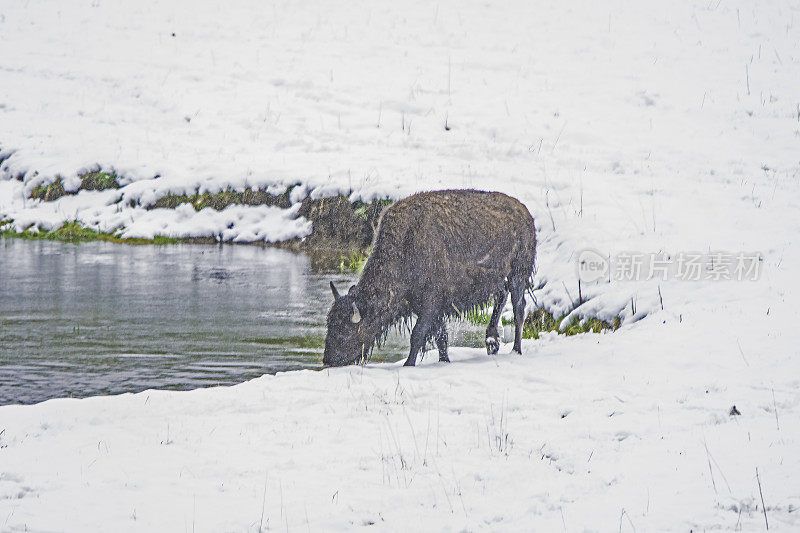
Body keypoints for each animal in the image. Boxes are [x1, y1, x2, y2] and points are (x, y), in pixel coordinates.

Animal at [322, 189, 536, 368]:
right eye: (329, 324)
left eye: (345, 330)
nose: (328, 360)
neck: (406, 246)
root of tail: (525, 212)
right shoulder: (428, 307)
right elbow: (441, 338)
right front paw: (444, 361)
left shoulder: (430, 304)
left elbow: (417, 335)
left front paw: (408, 364)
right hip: (500, 279)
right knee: (501, 298)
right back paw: (492, 343)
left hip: (518, 274)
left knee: (518, 309)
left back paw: (516, 350)